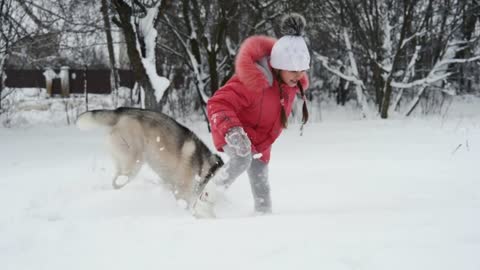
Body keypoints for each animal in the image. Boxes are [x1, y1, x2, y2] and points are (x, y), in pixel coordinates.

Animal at [76, 107, 223, 217]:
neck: (205, 169)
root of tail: (121, 111)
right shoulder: (182, 193)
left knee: (115, 181)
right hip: (134, 161)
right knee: (120, 180)